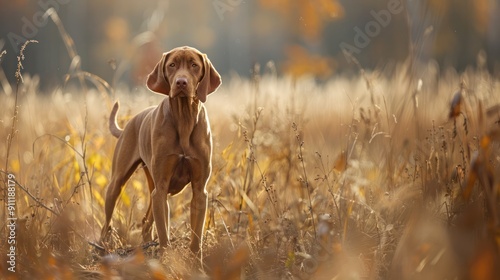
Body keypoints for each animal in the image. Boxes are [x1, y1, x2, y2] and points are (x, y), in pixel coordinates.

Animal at [99, 44, 221, 262]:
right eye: (172, 65)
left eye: (194, 65)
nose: (181, 82)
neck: (184, 118)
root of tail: (128, 125)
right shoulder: (162, 187)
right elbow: (164, 232)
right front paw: (167, 259)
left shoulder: (200, 190)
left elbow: (196, 234)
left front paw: (195, 260)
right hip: (118, 183)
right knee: (107, 223)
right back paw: (104, 247)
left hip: (153, 188)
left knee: (146, 222)